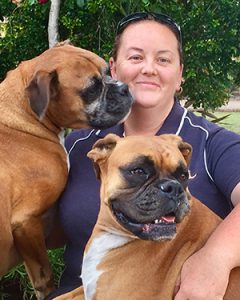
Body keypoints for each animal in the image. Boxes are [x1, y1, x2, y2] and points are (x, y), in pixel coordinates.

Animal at [0, 43, 133, 298]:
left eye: (107, 71)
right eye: (92, 89)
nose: (125, 88)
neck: (26, 116)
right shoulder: (27, 222)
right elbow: (44, 276)